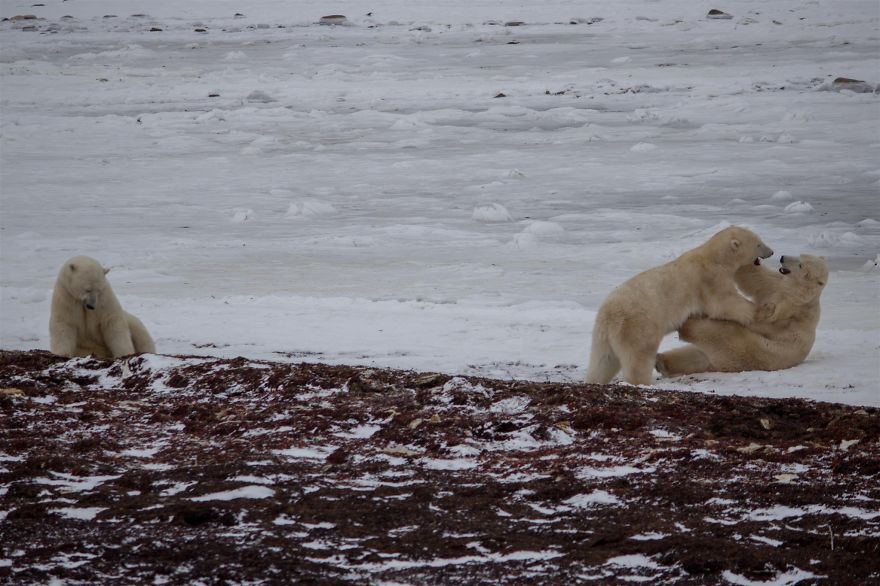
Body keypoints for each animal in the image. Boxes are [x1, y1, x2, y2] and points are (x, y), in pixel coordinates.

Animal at [585, 226, 774, 386]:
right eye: (758, 243)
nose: (771, 252)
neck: (714, 257)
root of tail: (608, 315)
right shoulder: (709, 278)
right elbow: (723, 302)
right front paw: (759, 310)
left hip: (602, 334)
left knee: (603, 360)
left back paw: (595, 380)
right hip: (637, 325)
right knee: (639, 355)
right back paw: (643, 382)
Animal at [655, 254, 828, 375]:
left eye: (800, 265)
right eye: (800, 256)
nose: (782, 258)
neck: (798, 293)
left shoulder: (790, 315)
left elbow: (763, 319)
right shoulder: (777, 284)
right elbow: (757, 279)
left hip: (754, 351)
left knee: (724, 335)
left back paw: (689, 324)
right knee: (695, 356)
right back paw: (661, 362)